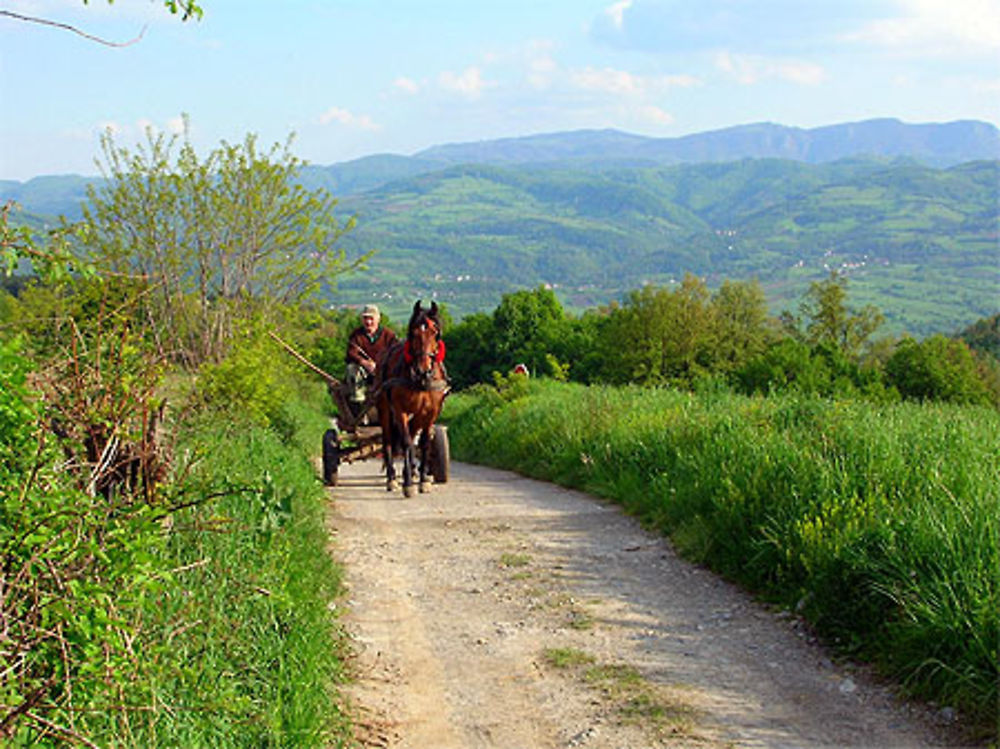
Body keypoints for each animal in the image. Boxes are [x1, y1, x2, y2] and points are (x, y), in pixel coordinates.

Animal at [378, 298, 450, 496]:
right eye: (414, 333)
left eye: (435, 333)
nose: (423, 370)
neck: (421, 382)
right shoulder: (400, 410)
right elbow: (406, 442)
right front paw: (408, 483)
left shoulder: (431, 412)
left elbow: (424, 443)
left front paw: (424, 479)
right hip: (385, 410)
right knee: (388, 441)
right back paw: (392, 478)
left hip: (418, 415)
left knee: (413, 434)